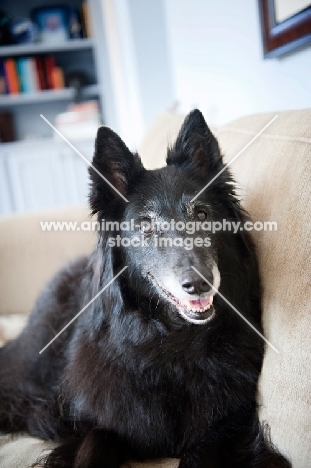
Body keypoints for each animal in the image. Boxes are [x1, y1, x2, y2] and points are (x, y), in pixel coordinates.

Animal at [0, 110, 290, 468]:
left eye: (202, 214)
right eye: (146, 226)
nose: (199, 283)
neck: (169, 343)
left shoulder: (231, 425)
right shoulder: (98, 421)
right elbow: (93, 444)